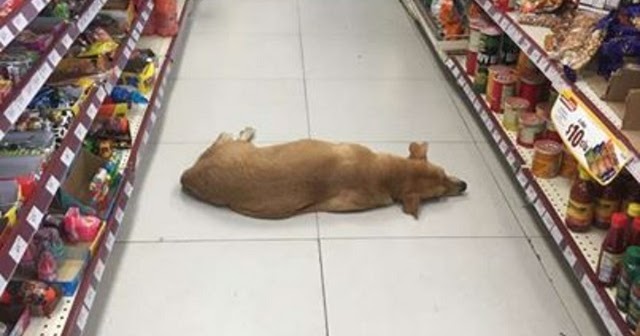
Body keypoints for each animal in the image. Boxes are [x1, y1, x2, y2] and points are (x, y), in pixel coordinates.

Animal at [180, 127, 464, 219]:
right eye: (439, 195)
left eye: (444, 173)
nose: (465, 185)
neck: (386, 174)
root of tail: (189, 175)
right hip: (236, 147)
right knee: (226, 135)